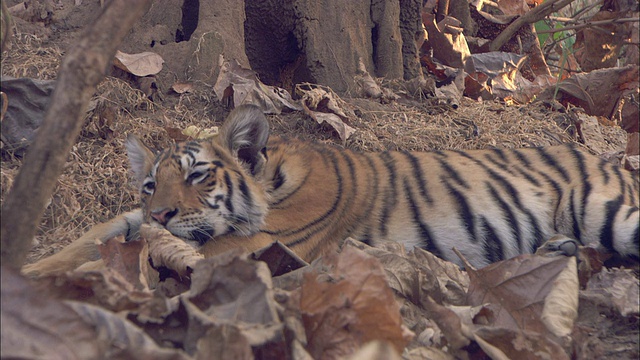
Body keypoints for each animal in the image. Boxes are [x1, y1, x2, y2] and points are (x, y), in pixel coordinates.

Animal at [20, 104, 640, 276]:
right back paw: (556, 250)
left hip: (606, 209)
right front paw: (27, 267)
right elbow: (99, 235)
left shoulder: (256, 243)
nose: (164, 213)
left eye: (198, 174)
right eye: (151, 184)